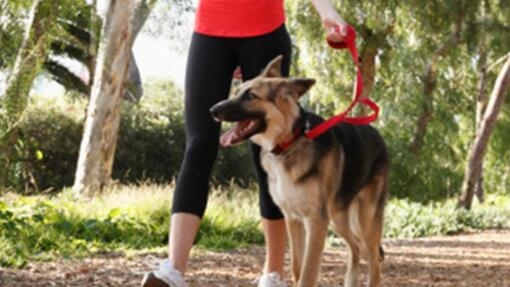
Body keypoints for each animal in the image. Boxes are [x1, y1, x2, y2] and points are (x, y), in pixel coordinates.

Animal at [209, 56, 388, 287]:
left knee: (374, 261)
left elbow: (307, 273)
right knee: (355, 247)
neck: (288, 143)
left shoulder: (316, 222)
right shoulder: (293, 219)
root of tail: (377, 134)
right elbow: (296, 267)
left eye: (250, 95)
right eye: (237, 91)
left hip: (365, 221)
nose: (212, 110)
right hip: (338, 219)